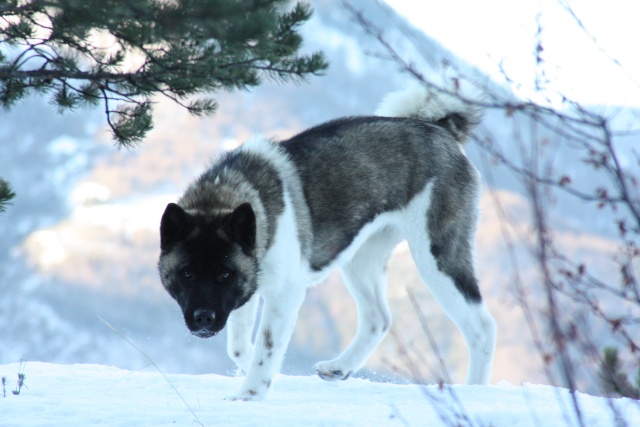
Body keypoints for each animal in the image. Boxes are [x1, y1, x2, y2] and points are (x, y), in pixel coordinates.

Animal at [158, 77, 498, 402]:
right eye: (187, 273)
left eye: (224, 274)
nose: (203, 318)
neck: (230, 197)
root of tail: (441, 129)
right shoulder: (248, 286)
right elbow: (241, 346)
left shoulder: (282, 292)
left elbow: (266, 347)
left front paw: (249, 395)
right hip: (362, 260)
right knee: (378, 318)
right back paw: (340, 367)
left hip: (436, 256)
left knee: (481, 327)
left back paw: (474, 391)